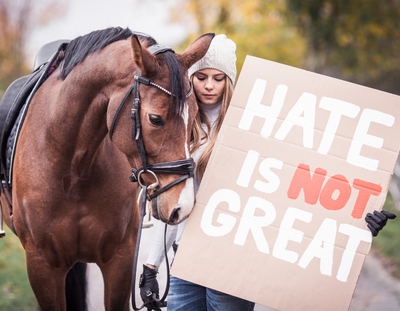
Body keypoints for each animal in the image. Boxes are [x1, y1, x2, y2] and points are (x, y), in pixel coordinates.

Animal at [0, 27, 214, 311]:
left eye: (194, 117)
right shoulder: (42, 266)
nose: (184, 206)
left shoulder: (119, 261)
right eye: (155, 119)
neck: (73, 170)